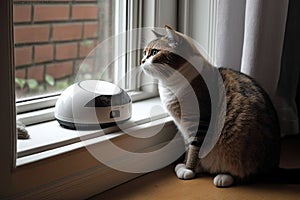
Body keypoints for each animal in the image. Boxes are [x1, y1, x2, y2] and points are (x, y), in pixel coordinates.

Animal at [139, 25, 282, 188]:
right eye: (144, 52)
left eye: (154, 52)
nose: (142, 61)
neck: (171, 85)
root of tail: (274, 166)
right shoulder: (185, 128)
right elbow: (189, 147)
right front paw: (189, 166)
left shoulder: (200, 121)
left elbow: (194, 148)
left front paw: (188, 169)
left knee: (248, 174)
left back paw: (224, 177)